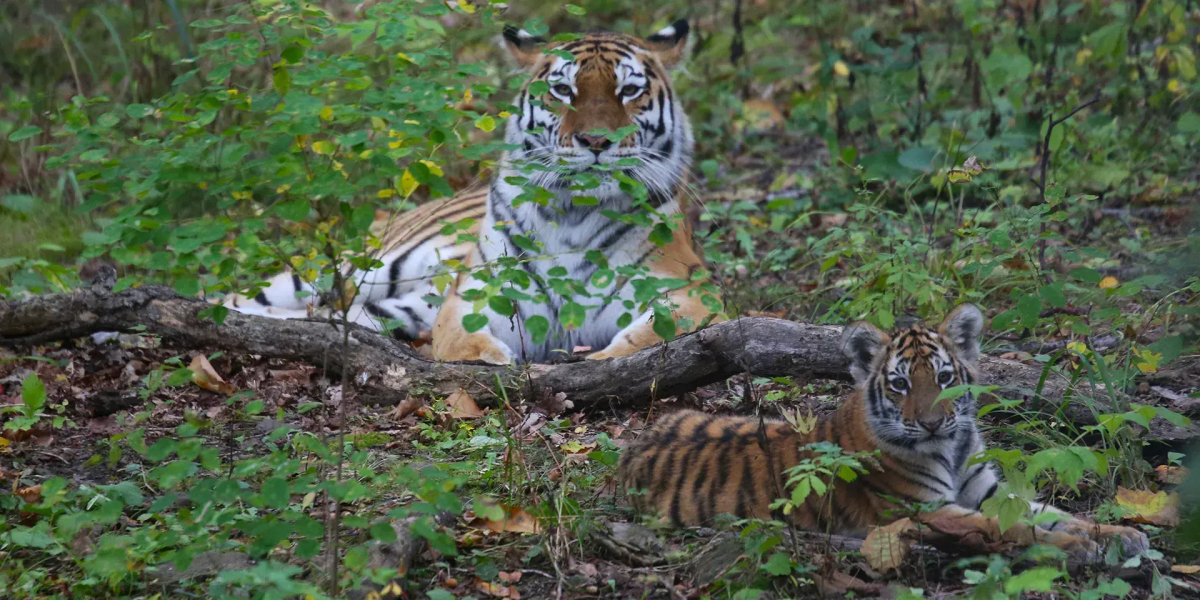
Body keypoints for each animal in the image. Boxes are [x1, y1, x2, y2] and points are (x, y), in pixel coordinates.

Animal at [225, 21, 720, 362]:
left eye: (629, 90)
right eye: (562, 90)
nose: (596, 141)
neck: (573, 214)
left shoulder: (689, 293)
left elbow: (649, 336)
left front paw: (600, 361)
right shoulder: (480, 294)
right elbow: (465, 340)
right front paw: (495, 362)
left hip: (392, 306)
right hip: (350, 268)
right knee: (237, 301)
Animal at [624, 304, 1147, 561]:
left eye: (945, 378)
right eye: (899, 384)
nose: (933, 423)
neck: (953, 449)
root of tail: (635, 446)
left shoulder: (988, 491)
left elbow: (1052, 514)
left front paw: (1121, 534)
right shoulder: (925, 511)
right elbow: (1009, 527)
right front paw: (1081, 547)